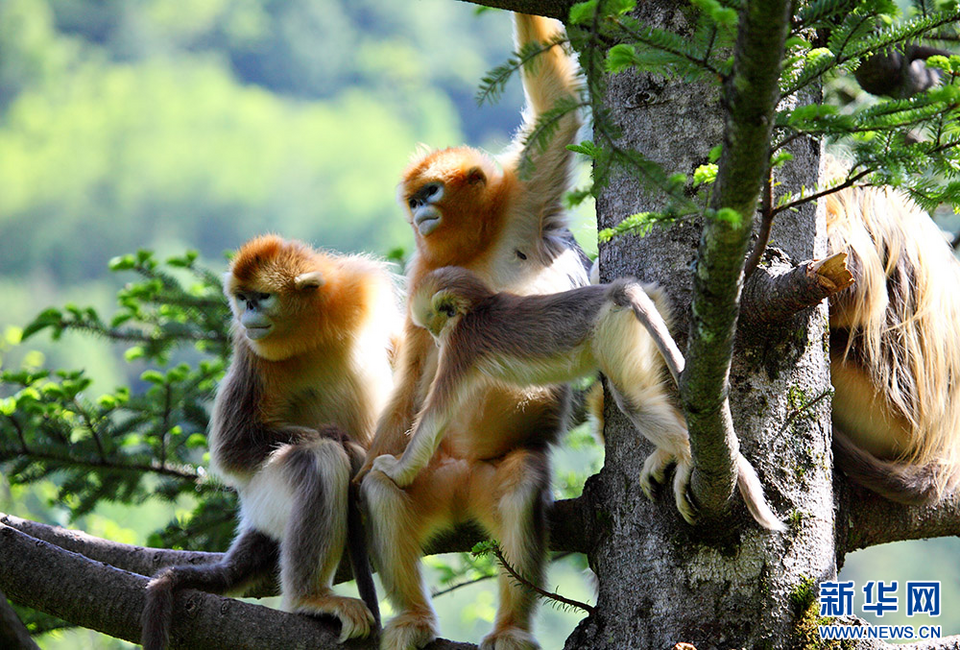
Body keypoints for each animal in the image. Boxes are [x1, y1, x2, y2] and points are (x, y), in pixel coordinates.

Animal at [372, 266, 784, 528]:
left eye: (434, 325)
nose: (434, 337)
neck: (481, 305)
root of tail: (617, 291)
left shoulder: (461, 345)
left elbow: (434, 420)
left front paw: (396, 470)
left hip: (613, 330)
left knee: (631, 399)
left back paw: (682, 456)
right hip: (651, 309)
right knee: (646, 389)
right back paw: (668, 452)